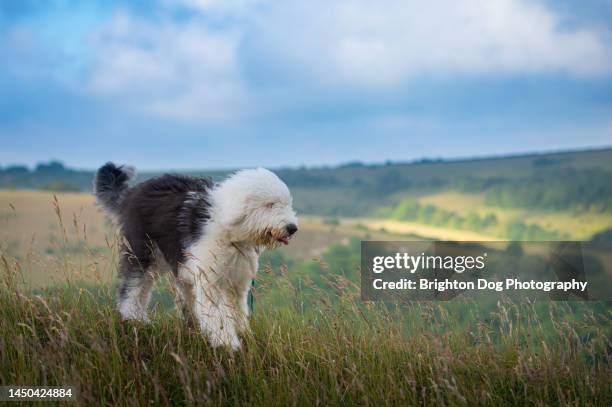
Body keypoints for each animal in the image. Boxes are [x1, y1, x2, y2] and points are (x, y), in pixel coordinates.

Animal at [92, 163, 298, 350]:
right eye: (270, 204)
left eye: (287, 204)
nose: (292, 228)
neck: (228, 227)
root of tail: (131, 193)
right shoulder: (210, 279)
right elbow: (217, 312)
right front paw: (227, 343)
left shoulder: (237, 282)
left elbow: (237, 309)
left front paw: (243, 333)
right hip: (143, 252)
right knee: (132, 287)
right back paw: (133, 318)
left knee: (149, 290)